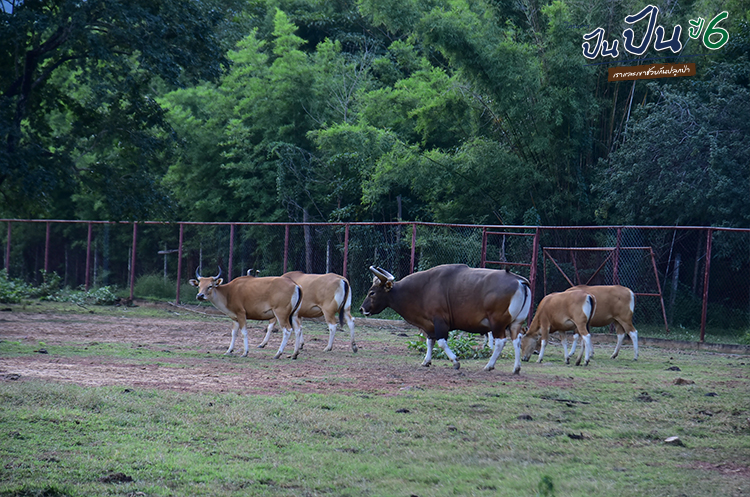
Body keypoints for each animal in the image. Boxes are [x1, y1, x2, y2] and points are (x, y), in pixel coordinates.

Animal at [359, 264, 532, 374]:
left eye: (372, 292)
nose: (362, 309)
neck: (421, 290)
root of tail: (519, 281)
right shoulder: (429, 324)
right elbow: (430, 341)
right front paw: (426, 361)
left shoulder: (440, 321)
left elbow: (441, 342)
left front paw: (455, 362)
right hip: (516, 323)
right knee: (517, 340)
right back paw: (516, 368)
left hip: (498, 323)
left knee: (501, 342)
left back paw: (489, 366)